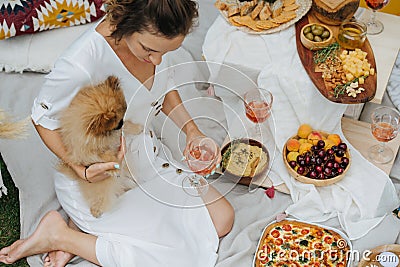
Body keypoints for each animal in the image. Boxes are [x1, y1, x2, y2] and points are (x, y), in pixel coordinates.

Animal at [57, 75, 142, 218]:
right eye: (117, 122)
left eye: (122, 119)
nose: (121, 123)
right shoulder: (87, 154)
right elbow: (105, 154)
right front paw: (114, 167)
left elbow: (128, 127)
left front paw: (138, 128)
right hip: (103, 187)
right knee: (101, 197)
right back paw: (96, 210)